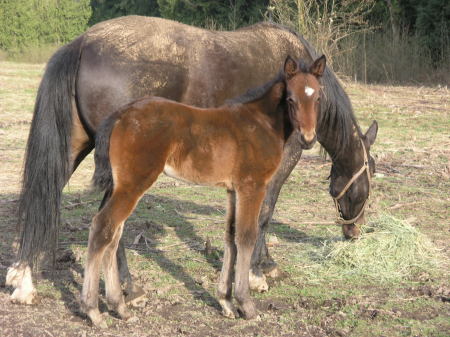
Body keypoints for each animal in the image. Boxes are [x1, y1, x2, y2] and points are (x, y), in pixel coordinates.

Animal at [81, 55, 326, 326]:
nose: (308, 139)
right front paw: (246, 304)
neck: (261, 123)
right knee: (102, 226)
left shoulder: (233, 190)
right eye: (291, 99)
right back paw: (93, 311)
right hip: (134, 184)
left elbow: (230, 237)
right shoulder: (252, 186)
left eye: (318, 97)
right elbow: (246, 236)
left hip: (121, 185)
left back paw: (120, 307)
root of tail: (120, 115)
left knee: (113, 235)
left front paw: (226, 302)